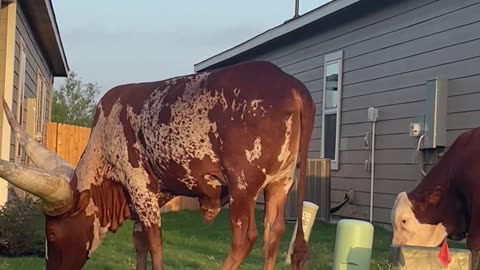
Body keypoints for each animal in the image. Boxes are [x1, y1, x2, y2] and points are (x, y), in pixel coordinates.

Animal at [0, 61, 316, 270]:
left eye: (52, 233)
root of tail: (292, 86)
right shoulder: (139, 197)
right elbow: (140, 242)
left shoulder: (140, 187)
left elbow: (155, 243)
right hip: (280, 183)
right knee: (273, 235)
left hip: (243, 184)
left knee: (244, 237)